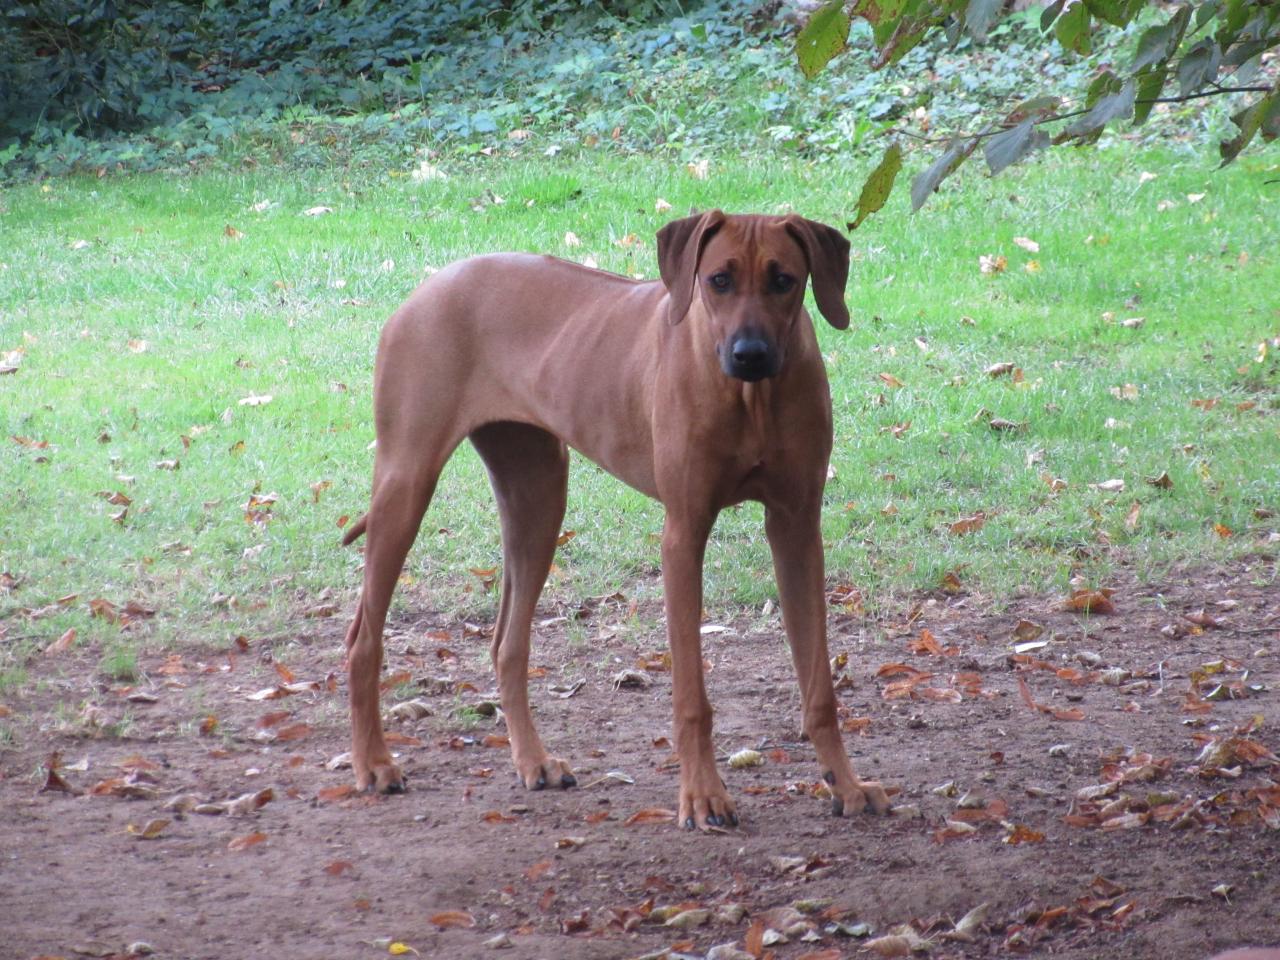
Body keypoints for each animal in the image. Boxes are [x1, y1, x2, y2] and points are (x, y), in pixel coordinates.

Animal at [343, 213, 890, 829]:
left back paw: (532, 760)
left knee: (507, 643)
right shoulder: (683, 533)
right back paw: (373, 764)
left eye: (784, 280)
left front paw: (846, 783)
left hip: (537, 496)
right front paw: (702, 795)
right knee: (363, 639)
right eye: (719, 280)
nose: (750, 354)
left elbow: (819, 685)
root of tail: (425, 287)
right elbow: (691, 697)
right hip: (406, 482)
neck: (752, 399)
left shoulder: (797, 527)